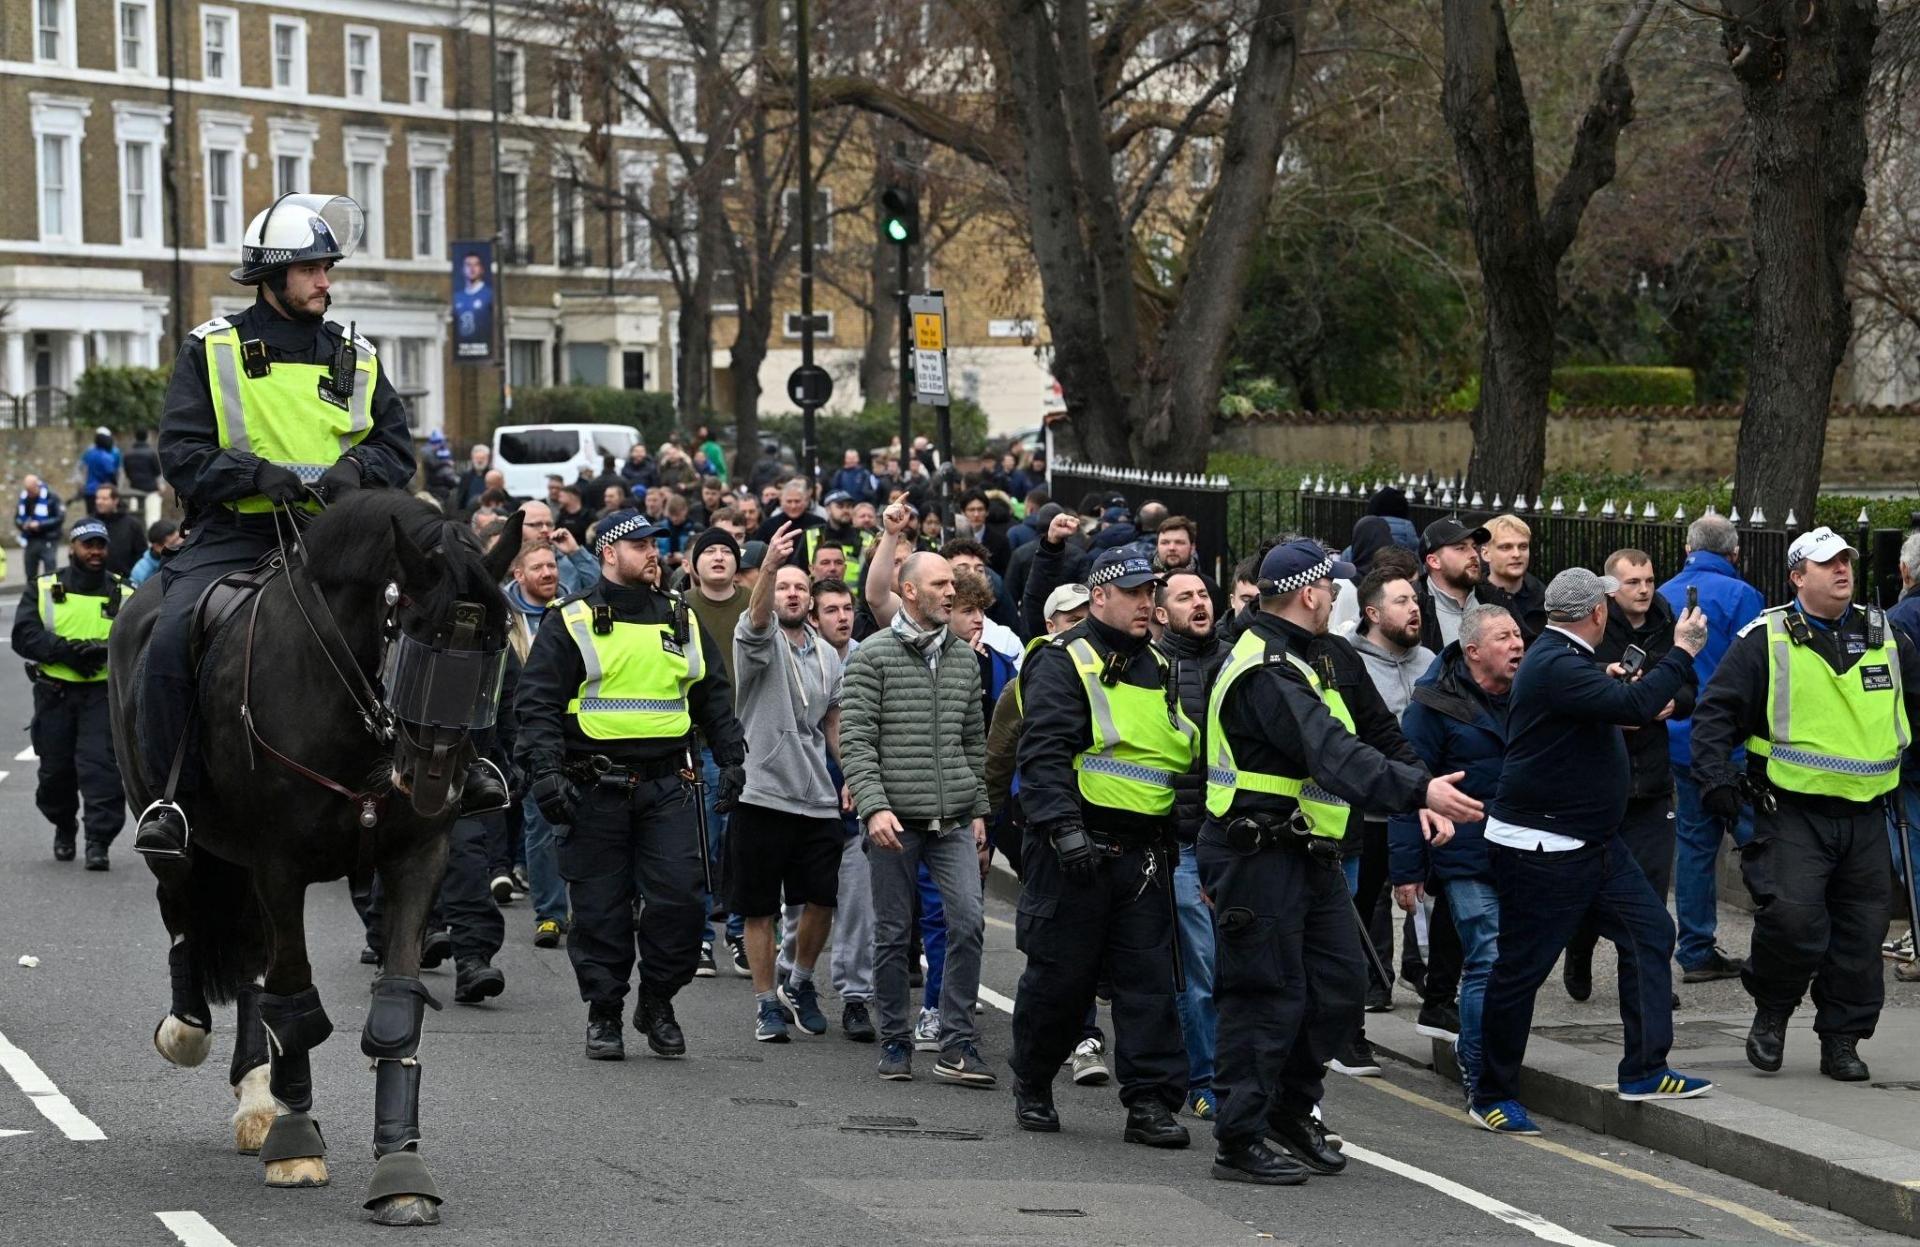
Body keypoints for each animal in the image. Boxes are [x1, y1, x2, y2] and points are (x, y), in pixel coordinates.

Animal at [108, 488, 522, 1222]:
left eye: (490, 656)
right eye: (410, 637)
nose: (433, 781)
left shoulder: (417, 856)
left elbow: (394, 1008)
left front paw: (401, 1171)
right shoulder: (281, 865)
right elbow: (295, 997)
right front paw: (298, 1145)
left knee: (249, 964)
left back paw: (257, 1099)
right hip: (182, 845)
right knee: (185, 921)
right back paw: (191, 1036)